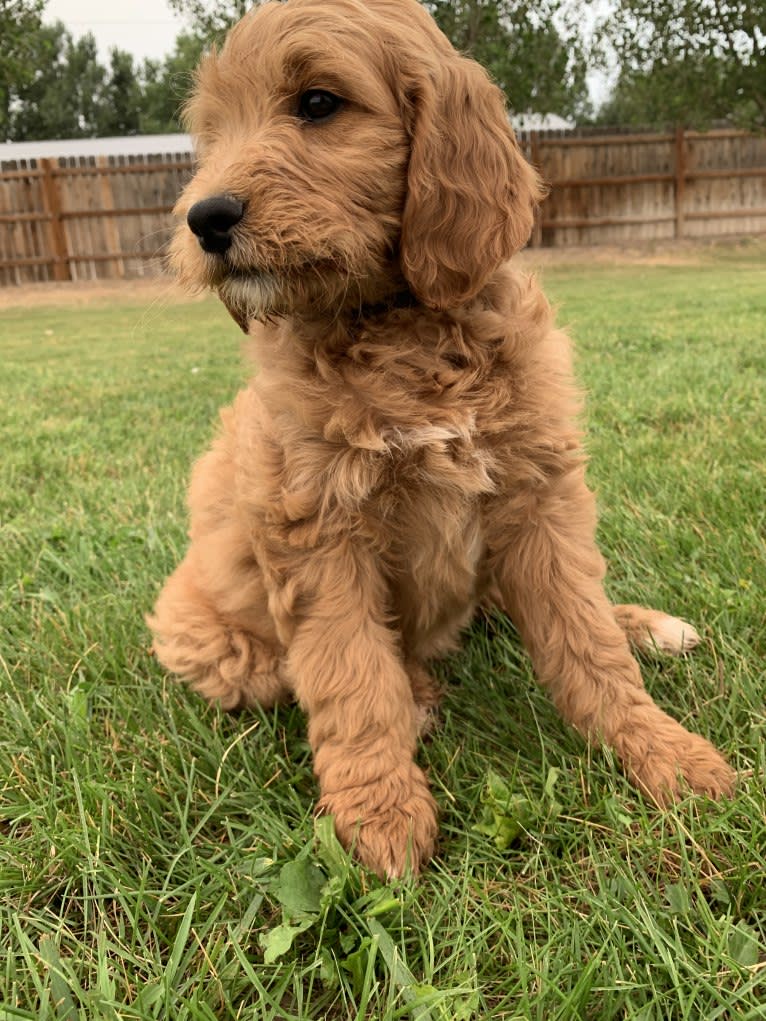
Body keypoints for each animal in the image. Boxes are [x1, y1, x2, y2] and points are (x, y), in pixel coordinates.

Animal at [145, 0, 739, 878]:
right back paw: (420, 695)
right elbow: (353, 675)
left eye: (317, 103)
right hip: (214, 643)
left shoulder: (538, 495)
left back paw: (648, 625)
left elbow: (586, 639)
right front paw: (380, 816)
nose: (204, 218)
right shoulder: (318, 533)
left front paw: (663, 749)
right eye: (212, 132)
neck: (400, 326)